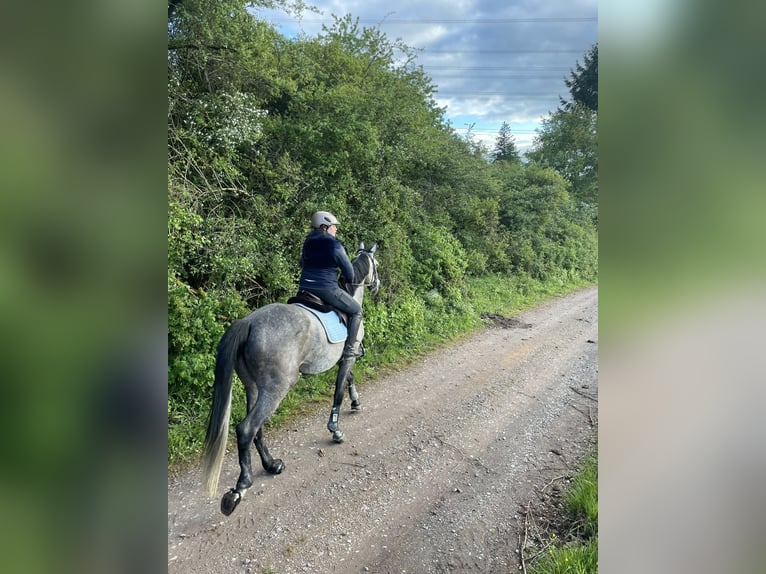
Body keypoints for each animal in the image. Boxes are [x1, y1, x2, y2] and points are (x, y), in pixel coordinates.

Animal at [201, 243, 380, 516]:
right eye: (376, 265)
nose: (377, 285)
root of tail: (248, 322)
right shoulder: (349, 355)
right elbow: (339, 390)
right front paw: (335, 430)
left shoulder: (343, 358)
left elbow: (348, 379)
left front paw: (356, 402)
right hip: (276, 388)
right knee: (246, 428)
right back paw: (241, 487)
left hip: (254, 387)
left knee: (256, 428)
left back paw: (271, 464)